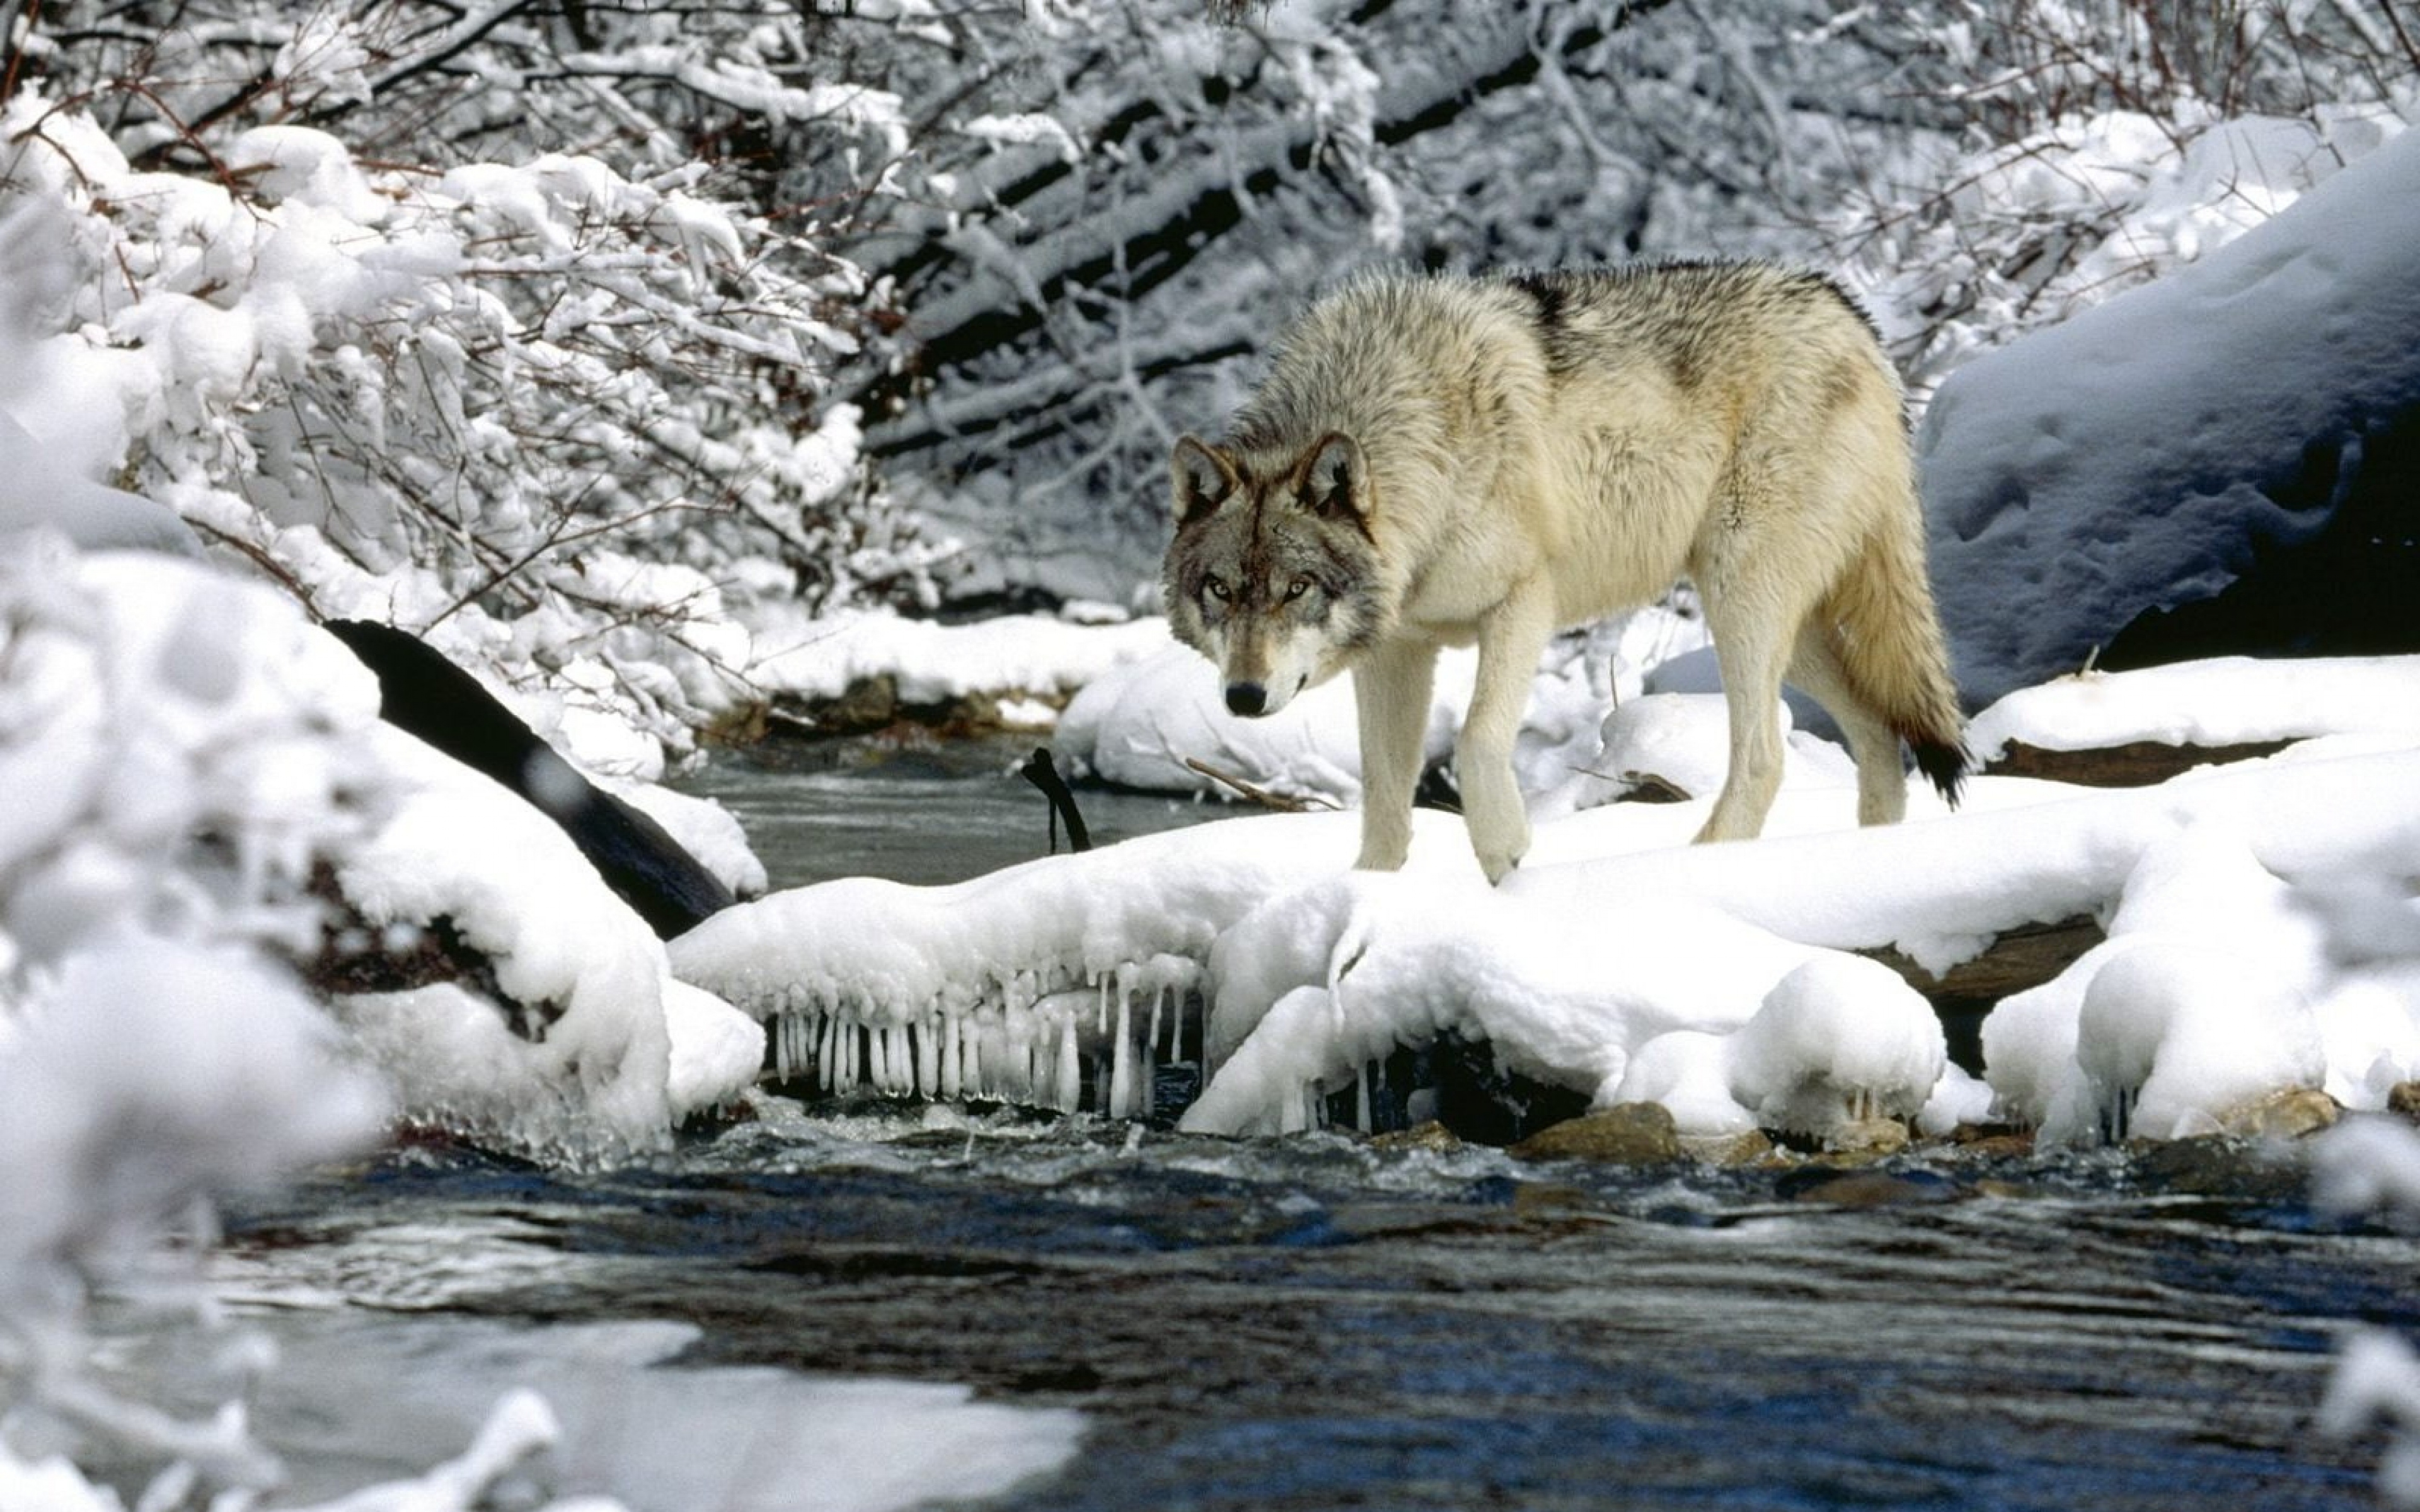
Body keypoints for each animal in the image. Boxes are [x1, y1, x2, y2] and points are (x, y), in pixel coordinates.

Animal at [1161, 256, 1974, 871]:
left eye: (1297, 587)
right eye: (1221, 590)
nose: (1243, 697)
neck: (1418, 434)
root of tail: (1851, 316)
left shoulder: (1524, 604)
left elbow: (1478, 740)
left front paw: (1508, 860)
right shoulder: (1398, 650)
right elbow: (1385, 798)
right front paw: (1369, 898)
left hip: (1741, 600)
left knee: (1766, 755)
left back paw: (1700, 867)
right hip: (1785, 629)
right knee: (1879, 735)